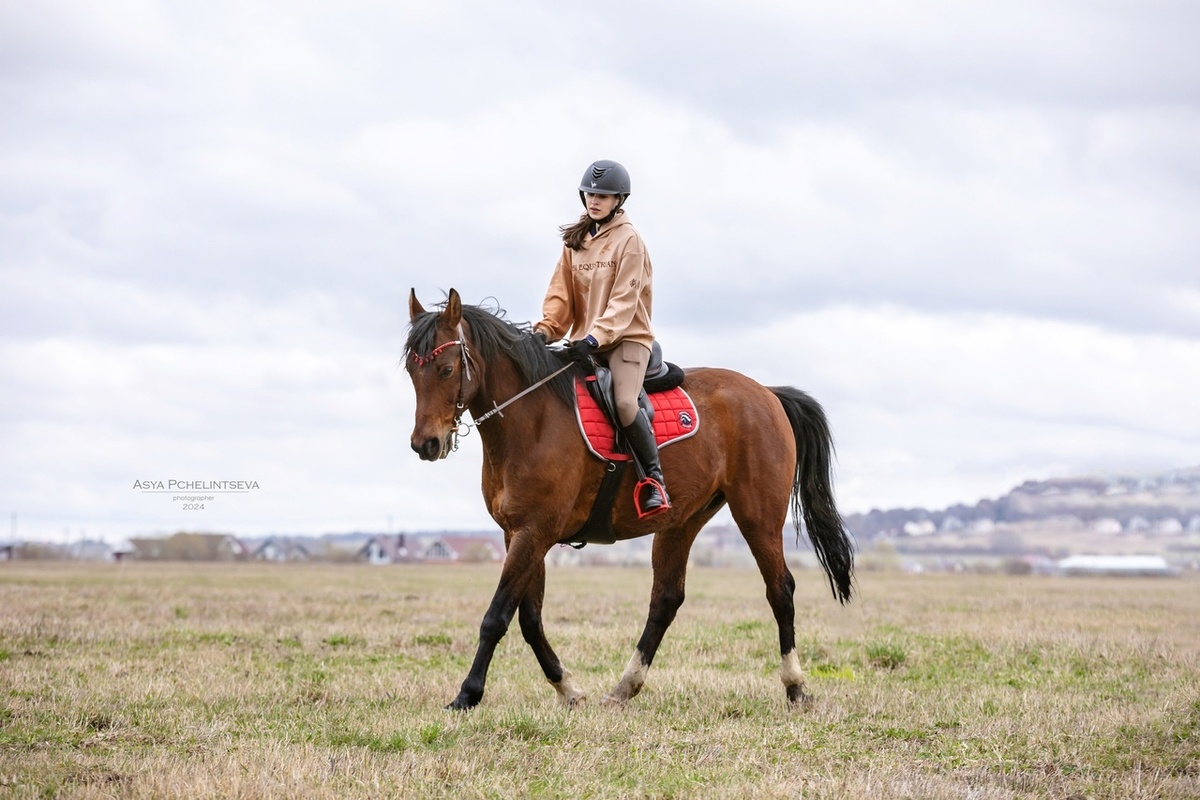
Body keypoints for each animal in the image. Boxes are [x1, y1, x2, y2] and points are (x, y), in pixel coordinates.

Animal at [405, 289, 854, 714]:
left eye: (446, 370)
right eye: (412, 370)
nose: (425, 444)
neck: (532, 420)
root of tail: (767, 393)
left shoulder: (534, 533)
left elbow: (496, 617)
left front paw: (467, 694)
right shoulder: (518, 533)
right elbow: (530, 619)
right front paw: (567, 689)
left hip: (757, 515)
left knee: (780, 589)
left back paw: (795, 686)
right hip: (682, 521)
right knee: (666, 599)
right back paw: (624, 688)